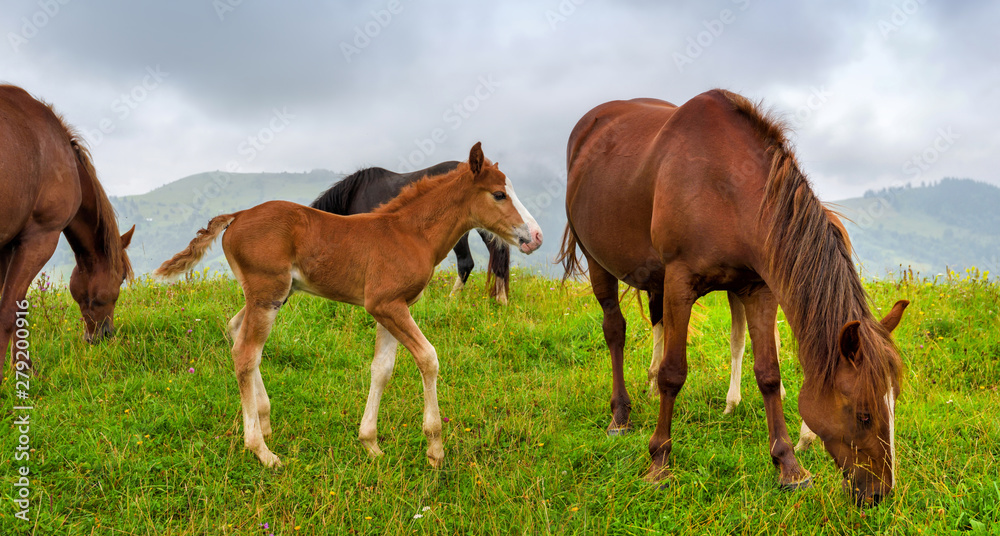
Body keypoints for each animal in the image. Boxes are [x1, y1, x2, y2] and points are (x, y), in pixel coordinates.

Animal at [0, 85, 135, 383]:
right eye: (121, 278)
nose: (105, 335)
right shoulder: (39, 239)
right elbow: (10, 311)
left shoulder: (5, 246)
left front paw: (22, 366)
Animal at [557, 90, 908, 506]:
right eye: (863, 414)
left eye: (893, 402)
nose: (879, 493)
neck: (727, 185)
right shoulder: (680, 281)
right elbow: (674, 373)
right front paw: (659, 462)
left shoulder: (758, 289)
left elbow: (769, 373)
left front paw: (788, 466)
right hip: (597, 261)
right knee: (615, 330)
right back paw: (620, 415)